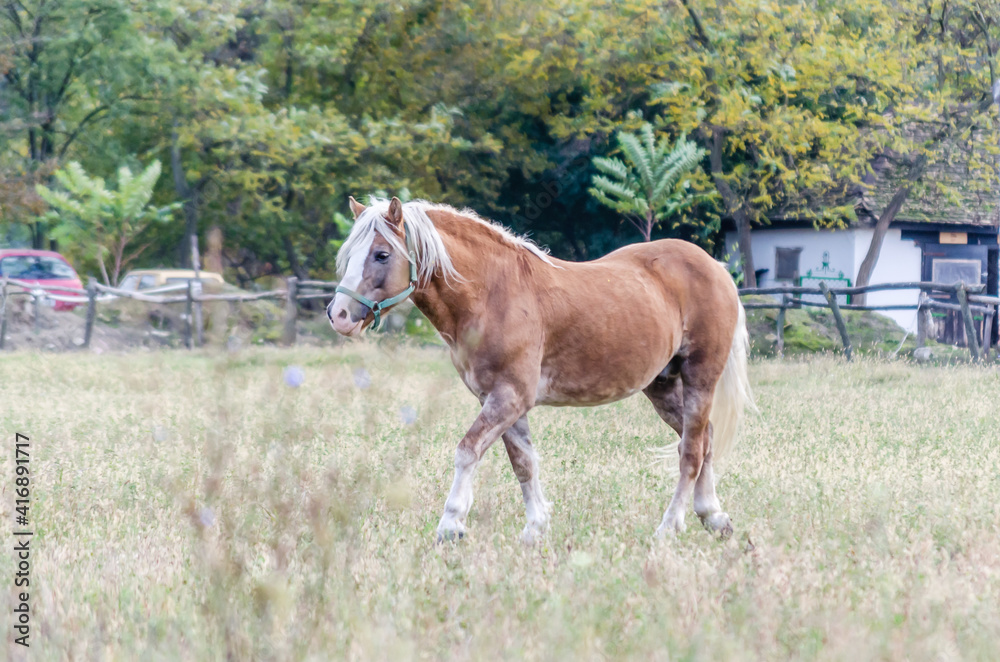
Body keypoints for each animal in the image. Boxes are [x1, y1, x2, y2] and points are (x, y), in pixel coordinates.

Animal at [328, 196, 752, 544]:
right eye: (350, 255)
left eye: (382, 254)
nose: (339, 315)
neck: (493, 294)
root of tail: (715, 267)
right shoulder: (501, 400)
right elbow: (524, 464)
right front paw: (535, 529)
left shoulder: (510, 396)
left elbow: (467, 451)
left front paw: (451, 526)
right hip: (662, 385)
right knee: (704, 439)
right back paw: (713, 517)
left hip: (700, 377)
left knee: (691, 451)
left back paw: (669, 527)